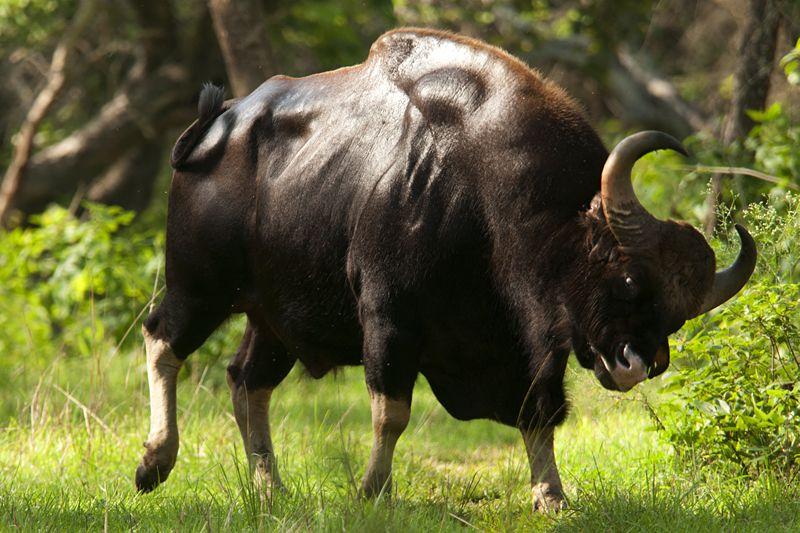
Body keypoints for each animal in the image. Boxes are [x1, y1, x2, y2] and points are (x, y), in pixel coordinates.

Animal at [136, 27, 756, 510]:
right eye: (627, 280)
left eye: (676, 316)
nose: (638, 364)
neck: (487, 194)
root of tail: (214, 125)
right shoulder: (388, 321)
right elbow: (391, 413)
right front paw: (374, 491)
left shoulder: (533, 341)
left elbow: (540, 412)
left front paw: (551, 495)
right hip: (198, 285)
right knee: (161, 338)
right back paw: (154, 463)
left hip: (272, 318)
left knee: (246, 380)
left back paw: (270, 491)